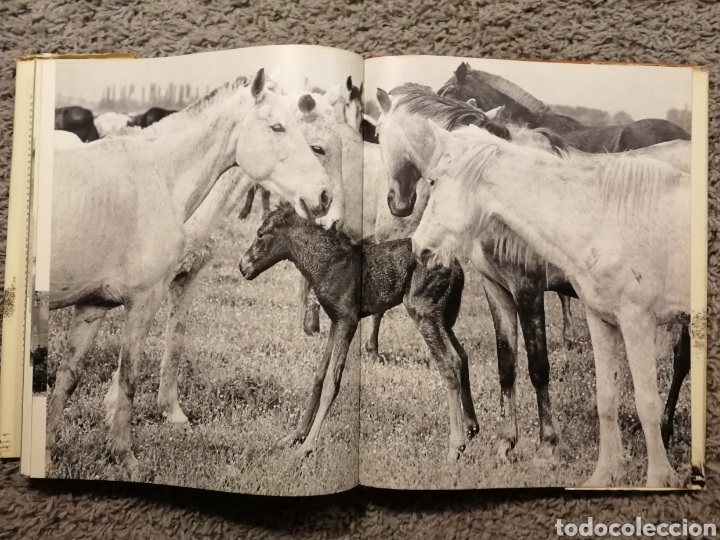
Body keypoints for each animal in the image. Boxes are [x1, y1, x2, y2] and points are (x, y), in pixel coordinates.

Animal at [47, 69, 333, 478]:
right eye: (277, 126)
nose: (324, 196)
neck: (157, 178)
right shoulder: (145, 298)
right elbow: (129, 374)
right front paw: (125, 455)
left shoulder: (98, 304)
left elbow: (71, 376)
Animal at [239, 204, 474, 460]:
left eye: (261, 233)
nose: (243, 266)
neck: (325, 265)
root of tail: (457, 268)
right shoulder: (336, 320)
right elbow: (319, 375)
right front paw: (295, 435)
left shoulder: (348, 320)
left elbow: (332, 382)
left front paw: (307, 446)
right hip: (444, 318)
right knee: (462, 356)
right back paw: (472, 427)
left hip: (423, 310)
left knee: (449, 362)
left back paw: (455, 447)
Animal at [405, 115, 689, 488]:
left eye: (433, 180)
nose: (417, 246)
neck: (599, 214)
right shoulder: (589, 315)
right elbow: (598, 395)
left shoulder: (624, 316)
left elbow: (545, 370)